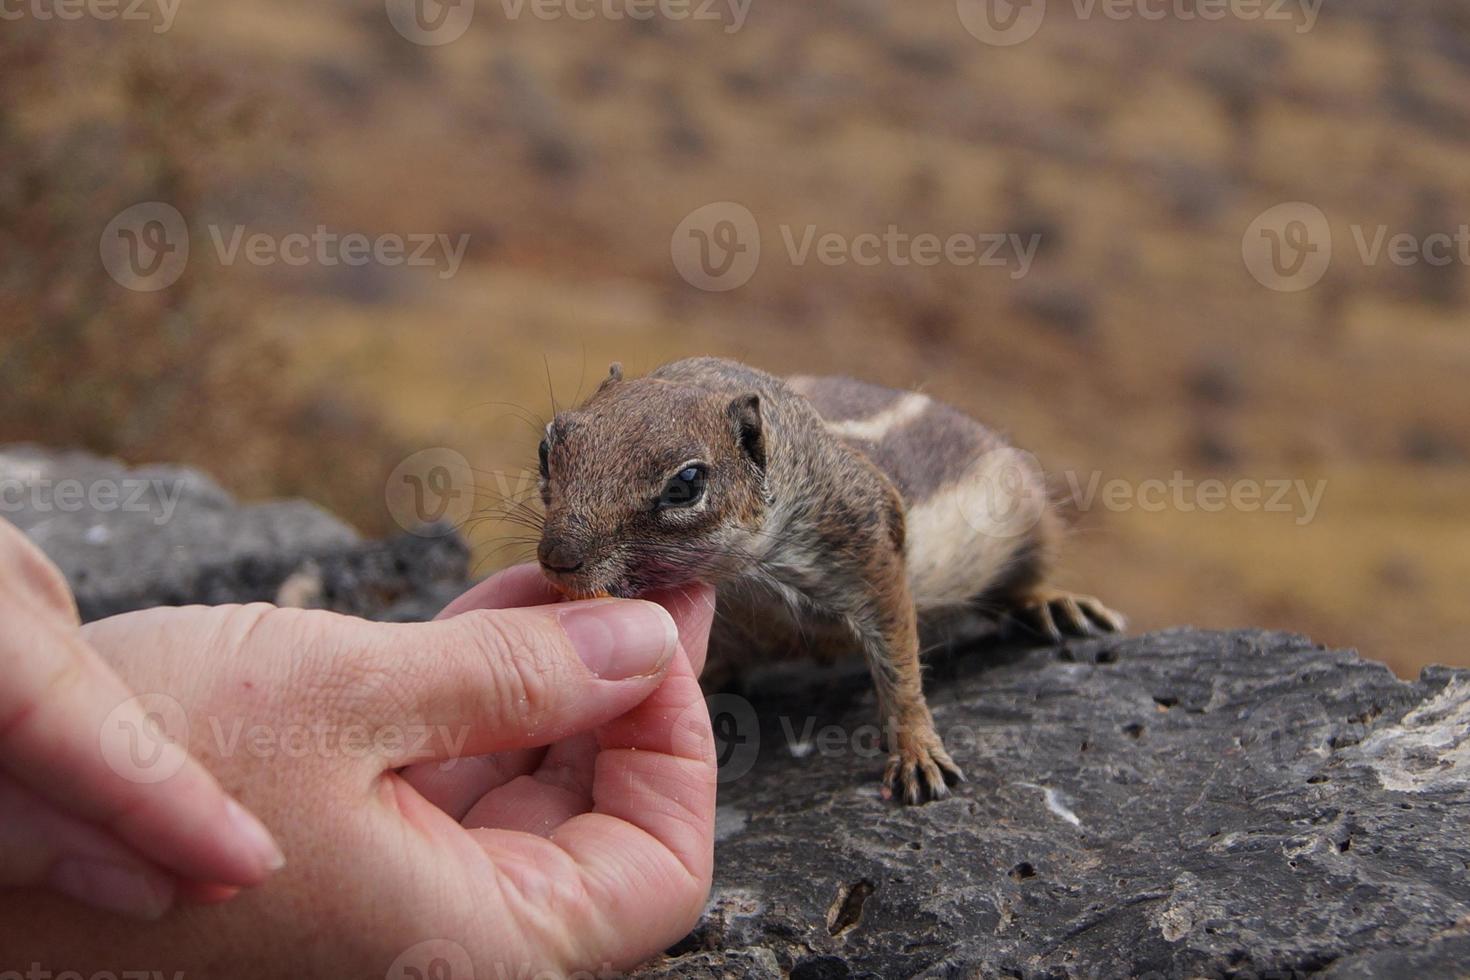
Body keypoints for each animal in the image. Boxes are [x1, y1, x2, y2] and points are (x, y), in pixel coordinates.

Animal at [535, 358, 1117, 805]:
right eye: (548, 446)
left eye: (687, 483)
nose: (556, 557)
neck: (744, 576)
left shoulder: (870, 557)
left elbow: (899, 664)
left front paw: (916, 751)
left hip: (1031, 515)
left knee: (1028, 577)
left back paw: (1056, 604)